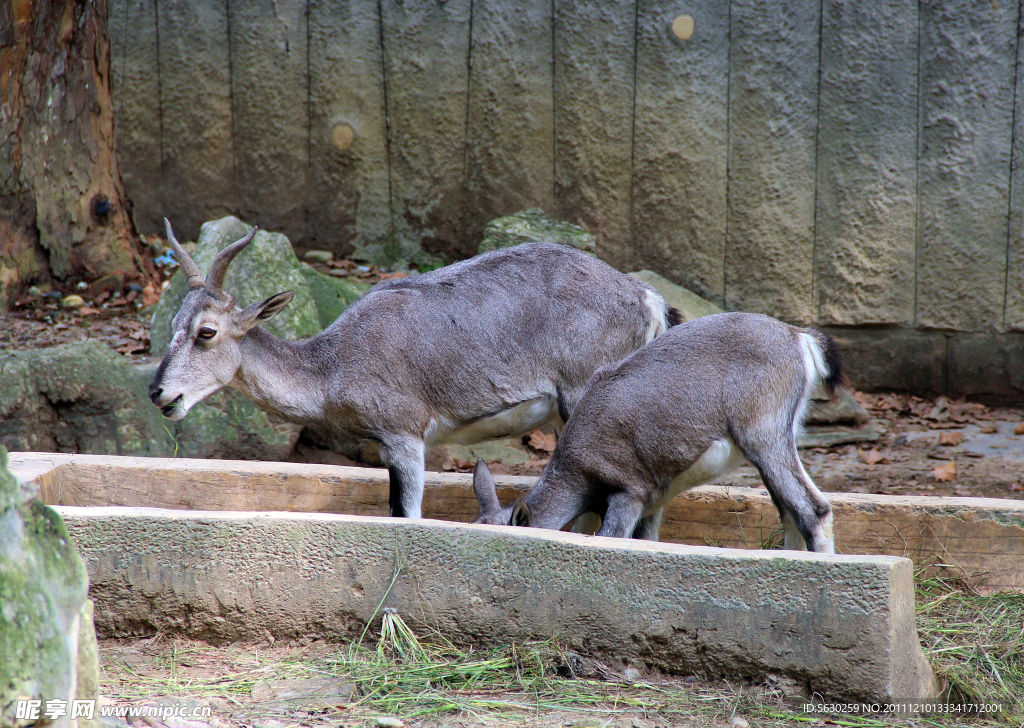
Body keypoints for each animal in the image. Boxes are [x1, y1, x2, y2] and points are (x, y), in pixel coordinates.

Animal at [148, 219, 679, 516]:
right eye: (172, 323)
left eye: (206, 332)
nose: (160, 395)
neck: (334, 367)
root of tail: (645, 300)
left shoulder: (405, 433)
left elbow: (408, 516)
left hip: (583, 397)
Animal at [475, 311, 843, 552]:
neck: (578, 467)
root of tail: (800, 339)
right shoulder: (652, 502)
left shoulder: (628, 492)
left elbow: (610, 538)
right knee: (790, 513)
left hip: (763, 435)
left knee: (813, 510)